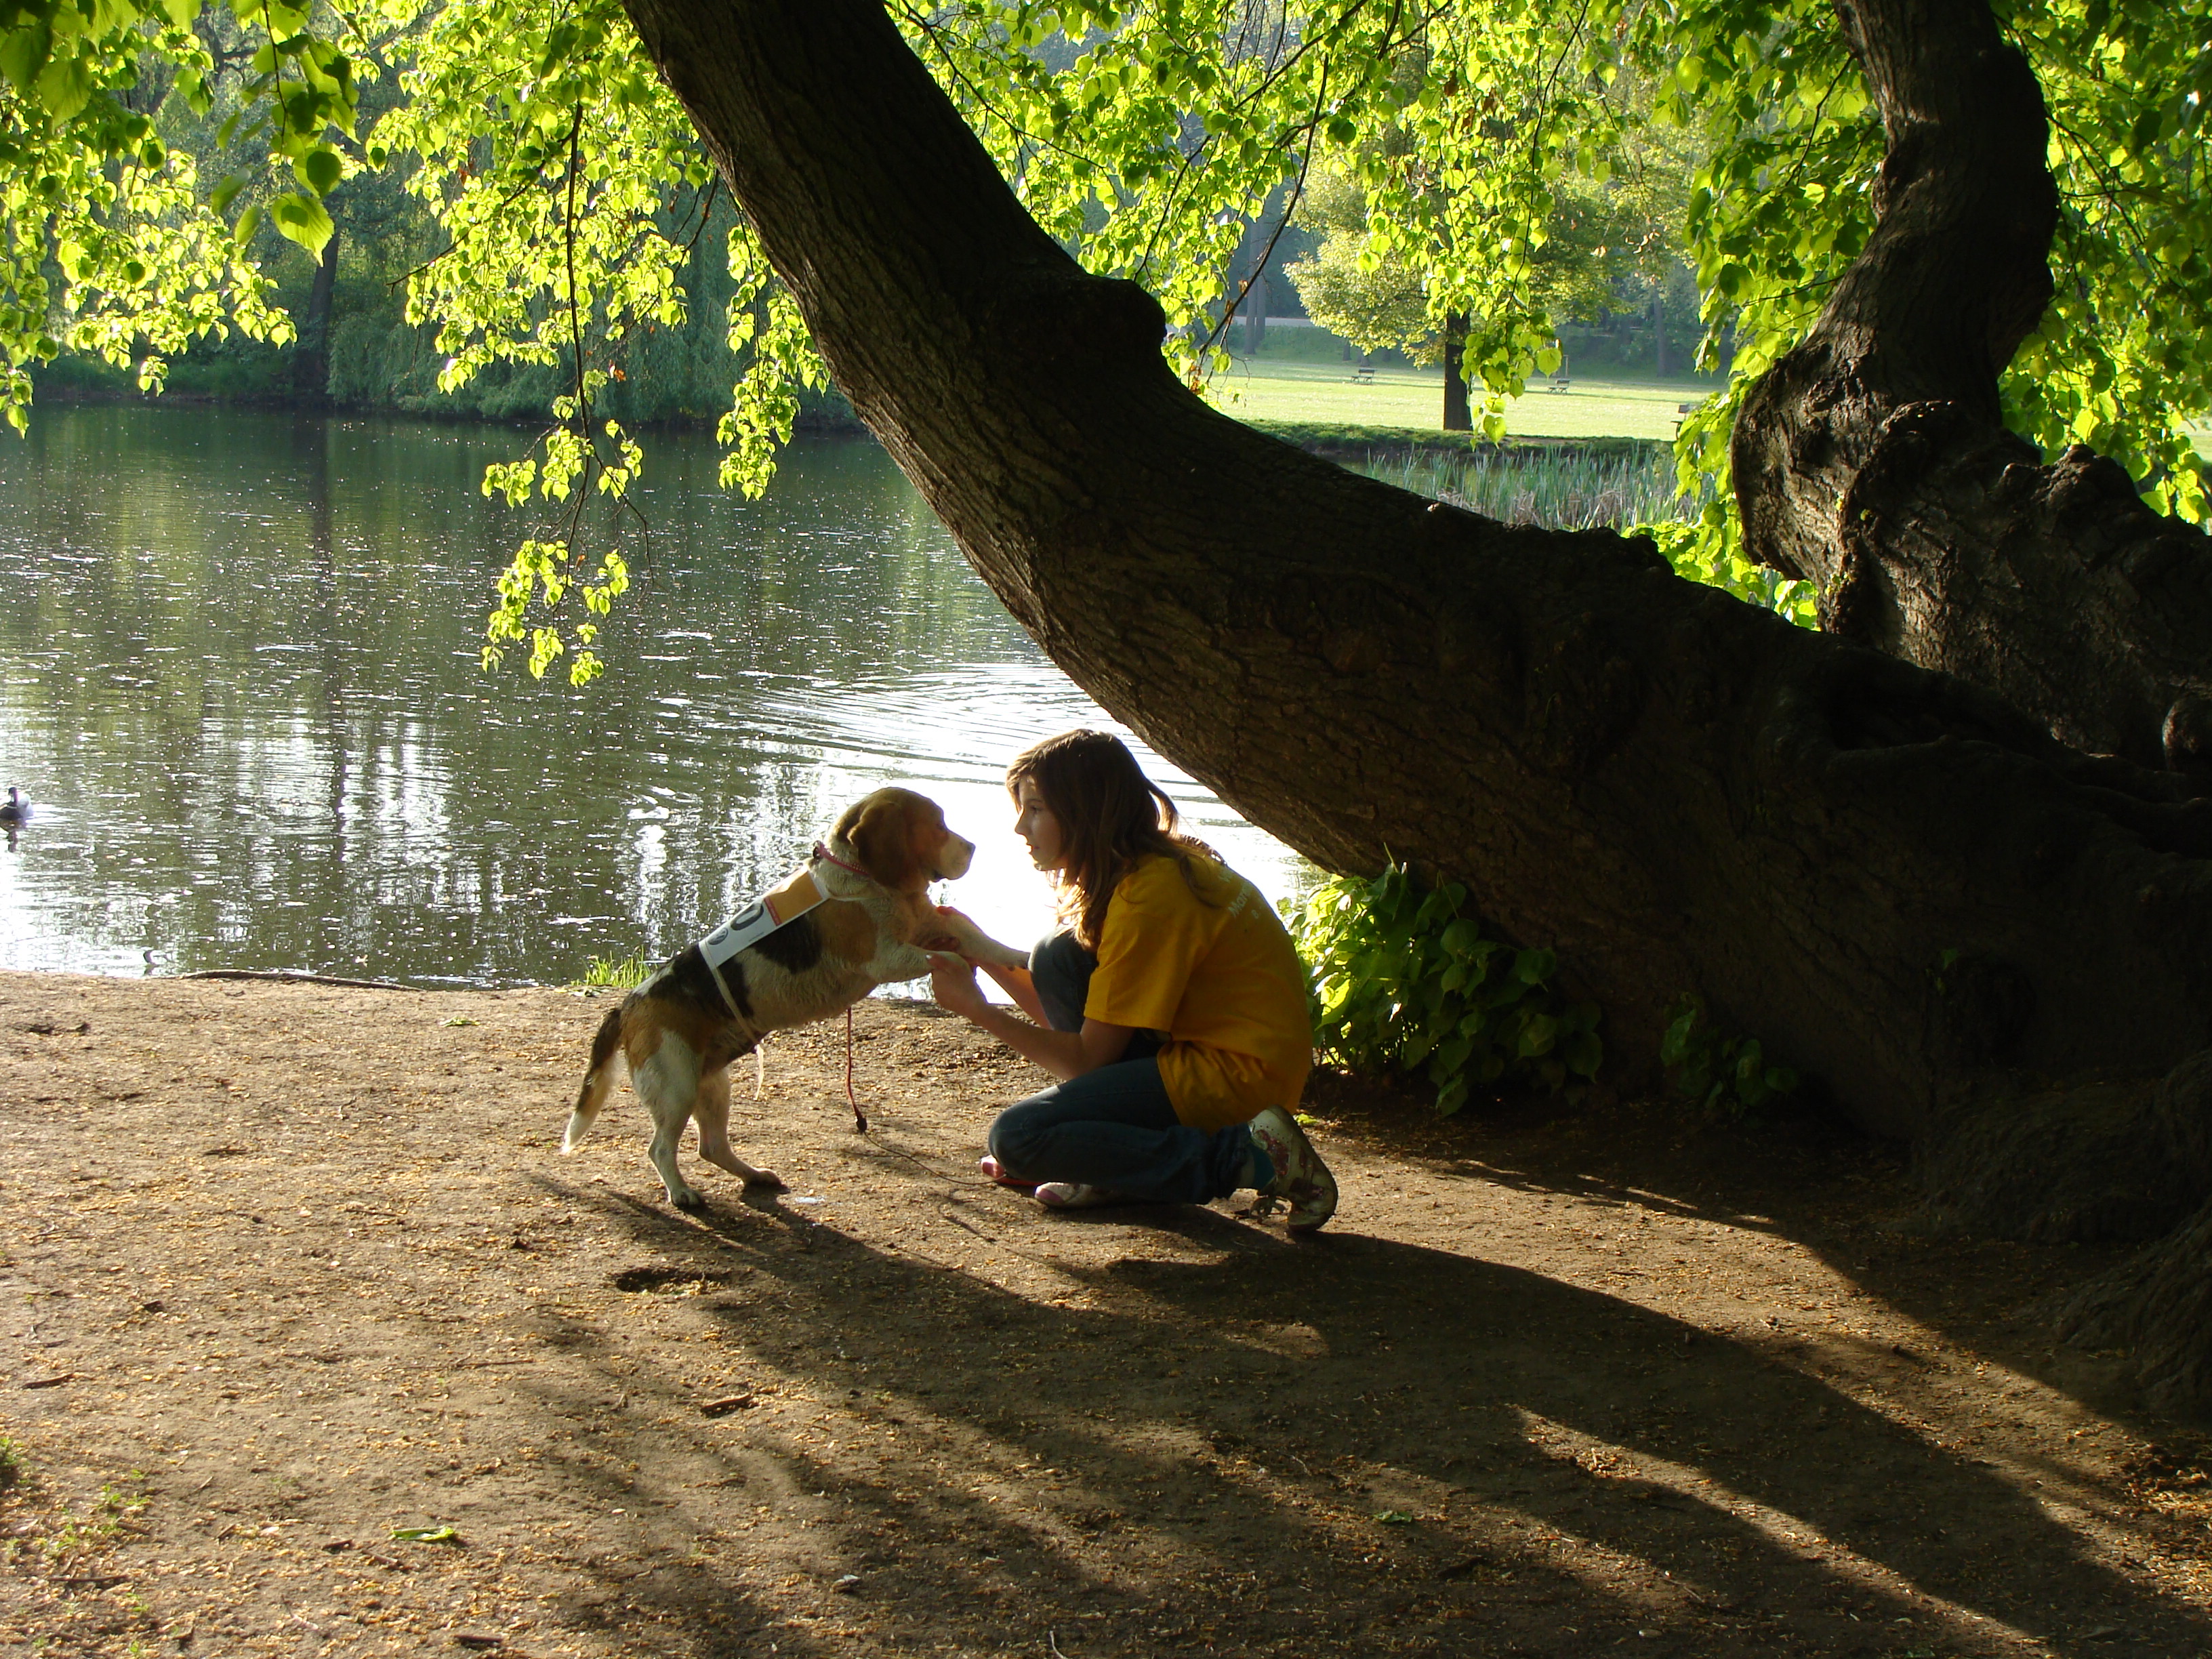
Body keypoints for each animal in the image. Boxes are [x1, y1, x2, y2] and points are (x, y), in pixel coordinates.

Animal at [566, 787, 1021, 1212]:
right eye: (937, 825)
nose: (974, 848)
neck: (863, 876)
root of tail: (628, 1005)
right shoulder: (887, 960)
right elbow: (949, 958)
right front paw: (970, 982)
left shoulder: (929, 927)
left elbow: (978, 938)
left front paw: (1017, 958)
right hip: (676, 1086)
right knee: (660, 1148)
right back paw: (681, 1192)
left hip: (710, 1086)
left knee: (711, 1147)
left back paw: (754, 1175)